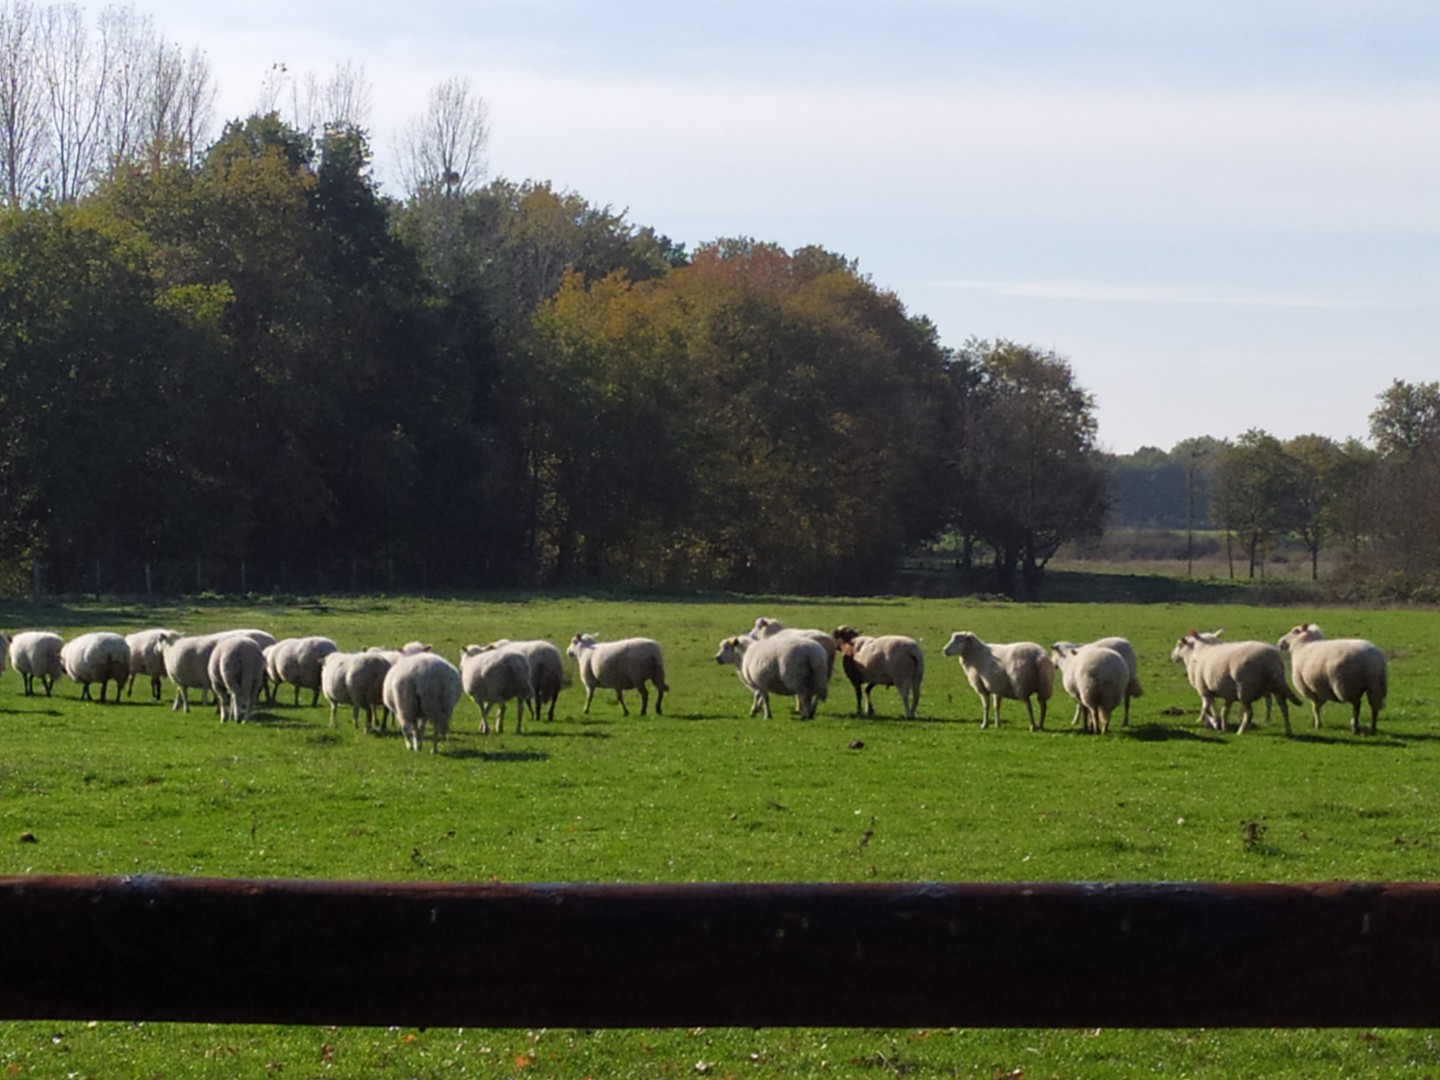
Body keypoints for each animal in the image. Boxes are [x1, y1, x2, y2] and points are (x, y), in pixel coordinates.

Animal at [1168, 629, 1300, 735]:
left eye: (1179, 644)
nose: (1172, 657)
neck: (1196, 653)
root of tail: (1271, 660)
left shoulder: (1204, 690)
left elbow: (1207, 707)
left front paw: (1209, 721)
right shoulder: (1227, 693)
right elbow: (1223, 711)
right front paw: (1222, 726)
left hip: (1245, 690)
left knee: (1249, 713)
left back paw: (1241, 731)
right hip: (1276, 687)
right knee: (1283, 707)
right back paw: (1288, 730)